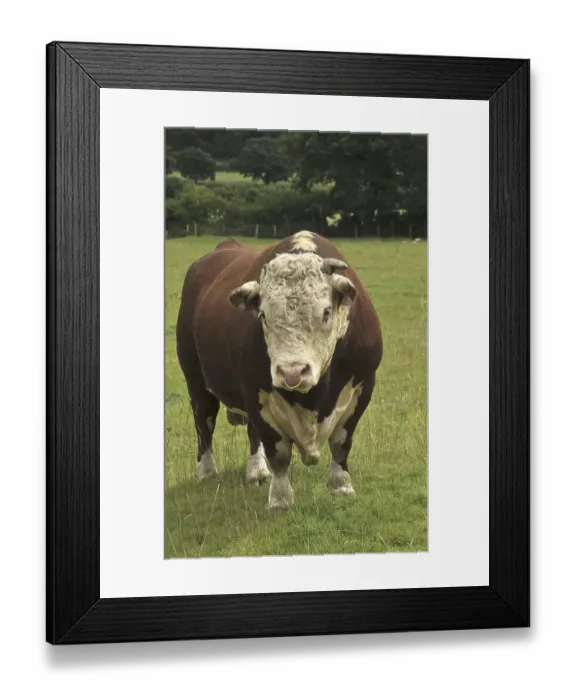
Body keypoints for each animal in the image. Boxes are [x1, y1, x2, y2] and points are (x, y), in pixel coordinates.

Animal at [176, 230, 383, 512]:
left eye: (326, 312)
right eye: (263, 315)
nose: (292, 372)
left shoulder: (363, 386)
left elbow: (341, 441)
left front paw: (341, 486)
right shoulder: (255, 391)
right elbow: (279, 452)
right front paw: (281, 500)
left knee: (250, 433)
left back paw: (256, 472)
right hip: (195, 378)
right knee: (204, 420)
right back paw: (207, 471)